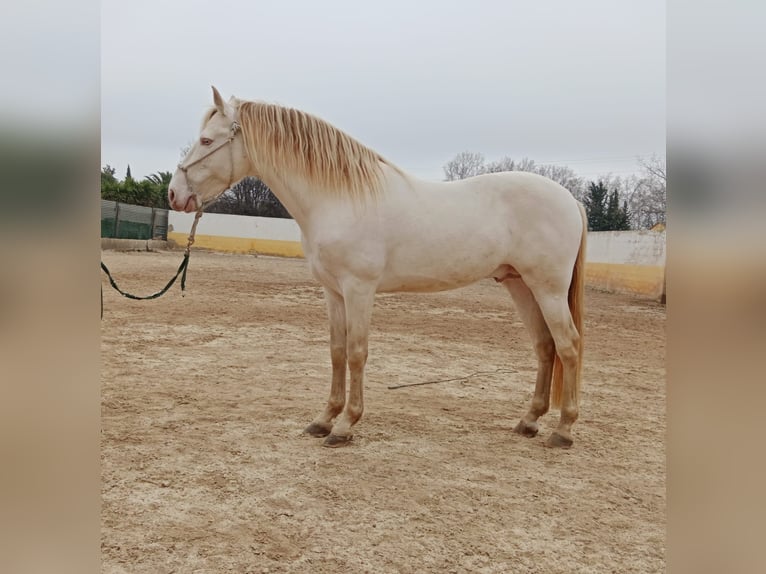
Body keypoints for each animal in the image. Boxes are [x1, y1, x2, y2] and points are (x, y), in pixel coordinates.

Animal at [168, 88, 588, 452]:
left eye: (206, 140)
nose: (175, 194)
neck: (338, 198)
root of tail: (570, 200)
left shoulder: (359, 289)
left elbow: (357, 352)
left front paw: (345, 426)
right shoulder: (333, 291)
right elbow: (337, 351)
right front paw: (324, 419)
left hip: (547, 289)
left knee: (568, 345)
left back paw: (564, 429)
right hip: (520, 285)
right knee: (545, 346)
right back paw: (529, 421)